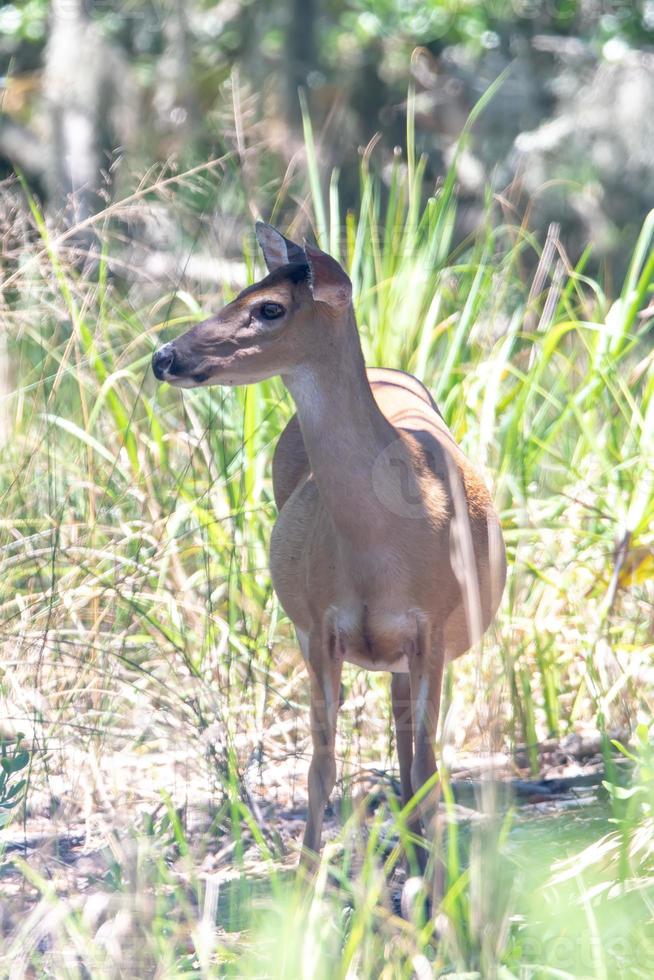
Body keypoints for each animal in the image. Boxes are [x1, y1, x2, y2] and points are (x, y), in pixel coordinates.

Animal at [152, 222, 508, 880]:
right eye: (240, 288)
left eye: (269, 308)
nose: (164, 356)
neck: (383, 545)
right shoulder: (319, 625)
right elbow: (321, 764)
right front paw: (305, 883)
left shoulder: (434, 626)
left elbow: (428, 767)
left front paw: (437, 894)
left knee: (410, 745)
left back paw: (417, 856)